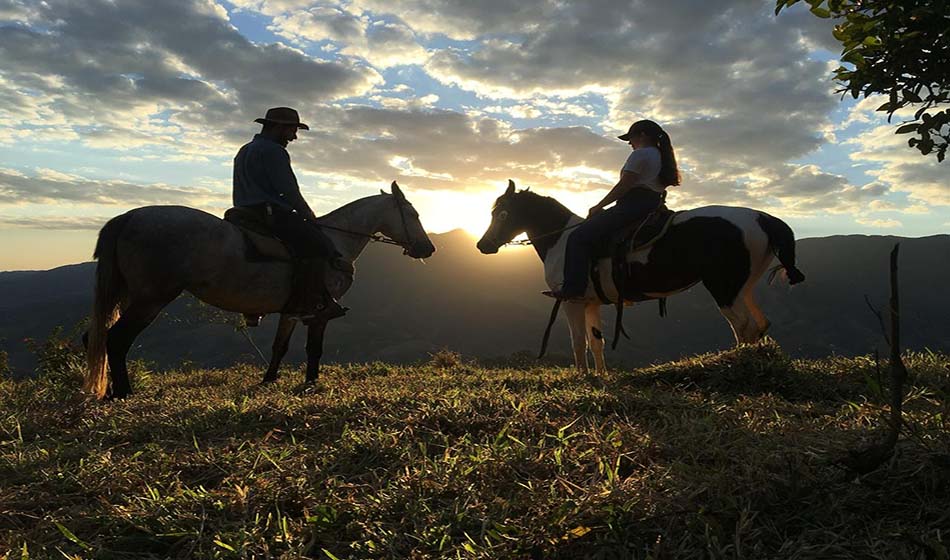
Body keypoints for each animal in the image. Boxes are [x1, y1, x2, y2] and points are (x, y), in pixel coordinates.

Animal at [84, 183, 436, 398]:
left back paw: (109, 390)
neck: (337, 241)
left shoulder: (292, 310)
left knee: (97, 337)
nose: (428, 248)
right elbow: (314, 349)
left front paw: (269, 380)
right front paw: (311, 384)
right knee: (116, 339)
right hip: (151, 298)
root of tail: (128, 217)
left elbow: (280, 347)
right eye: (414, 214)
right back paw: (123, 393)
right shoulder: (319, 313)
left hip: (128, 295)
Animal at [476, 179, 804, 372]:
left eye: (502, 213)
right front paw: (601, 378)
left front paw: (581, 377)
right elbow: (596, 341)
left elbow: (578, 341)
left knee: (744, 327)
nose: (483, 246)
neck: (563, 240)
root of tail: (762, 217)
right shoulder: (592, 302)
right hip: (742, 286)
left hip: (723, 287)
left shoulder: (571, 300)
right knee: (759, 324)